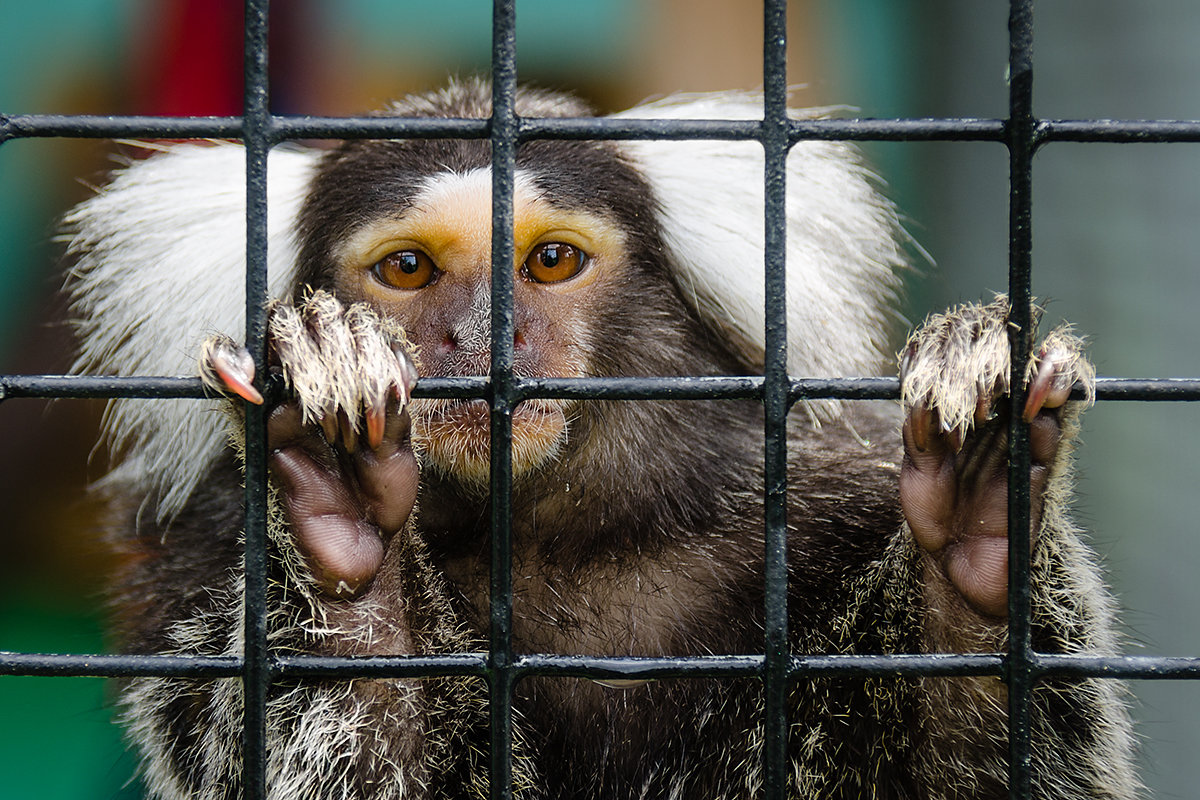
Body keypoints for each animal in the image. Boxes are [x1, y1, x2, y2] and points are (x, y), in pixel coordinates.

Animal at [60, 79, 1137, 800]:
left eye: (549, 260)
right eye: (407, 270)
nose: (487, 337)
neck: (555, 543)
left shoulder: (838, 491)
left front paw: (978, 513)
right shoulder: (198, 565)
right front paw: (337, 512)